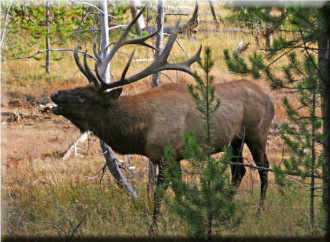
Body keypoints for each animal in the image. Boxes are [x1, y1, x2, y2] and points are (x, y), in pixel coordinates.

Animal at [50, 7, 274, 234]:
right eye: (78, 87)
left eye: (83, 97)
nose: (55, 94)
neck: (141, 132)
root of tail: (269, 98)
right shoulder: (172, 157)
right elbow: (179, 190)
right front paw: (189, 218)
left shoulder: (167, 154)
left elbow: (160, 194)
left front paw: (154, 228)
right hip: (235, 140)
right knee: (239, 171)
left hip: (257, 133)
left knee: (263, 167)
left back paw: (260, 212)